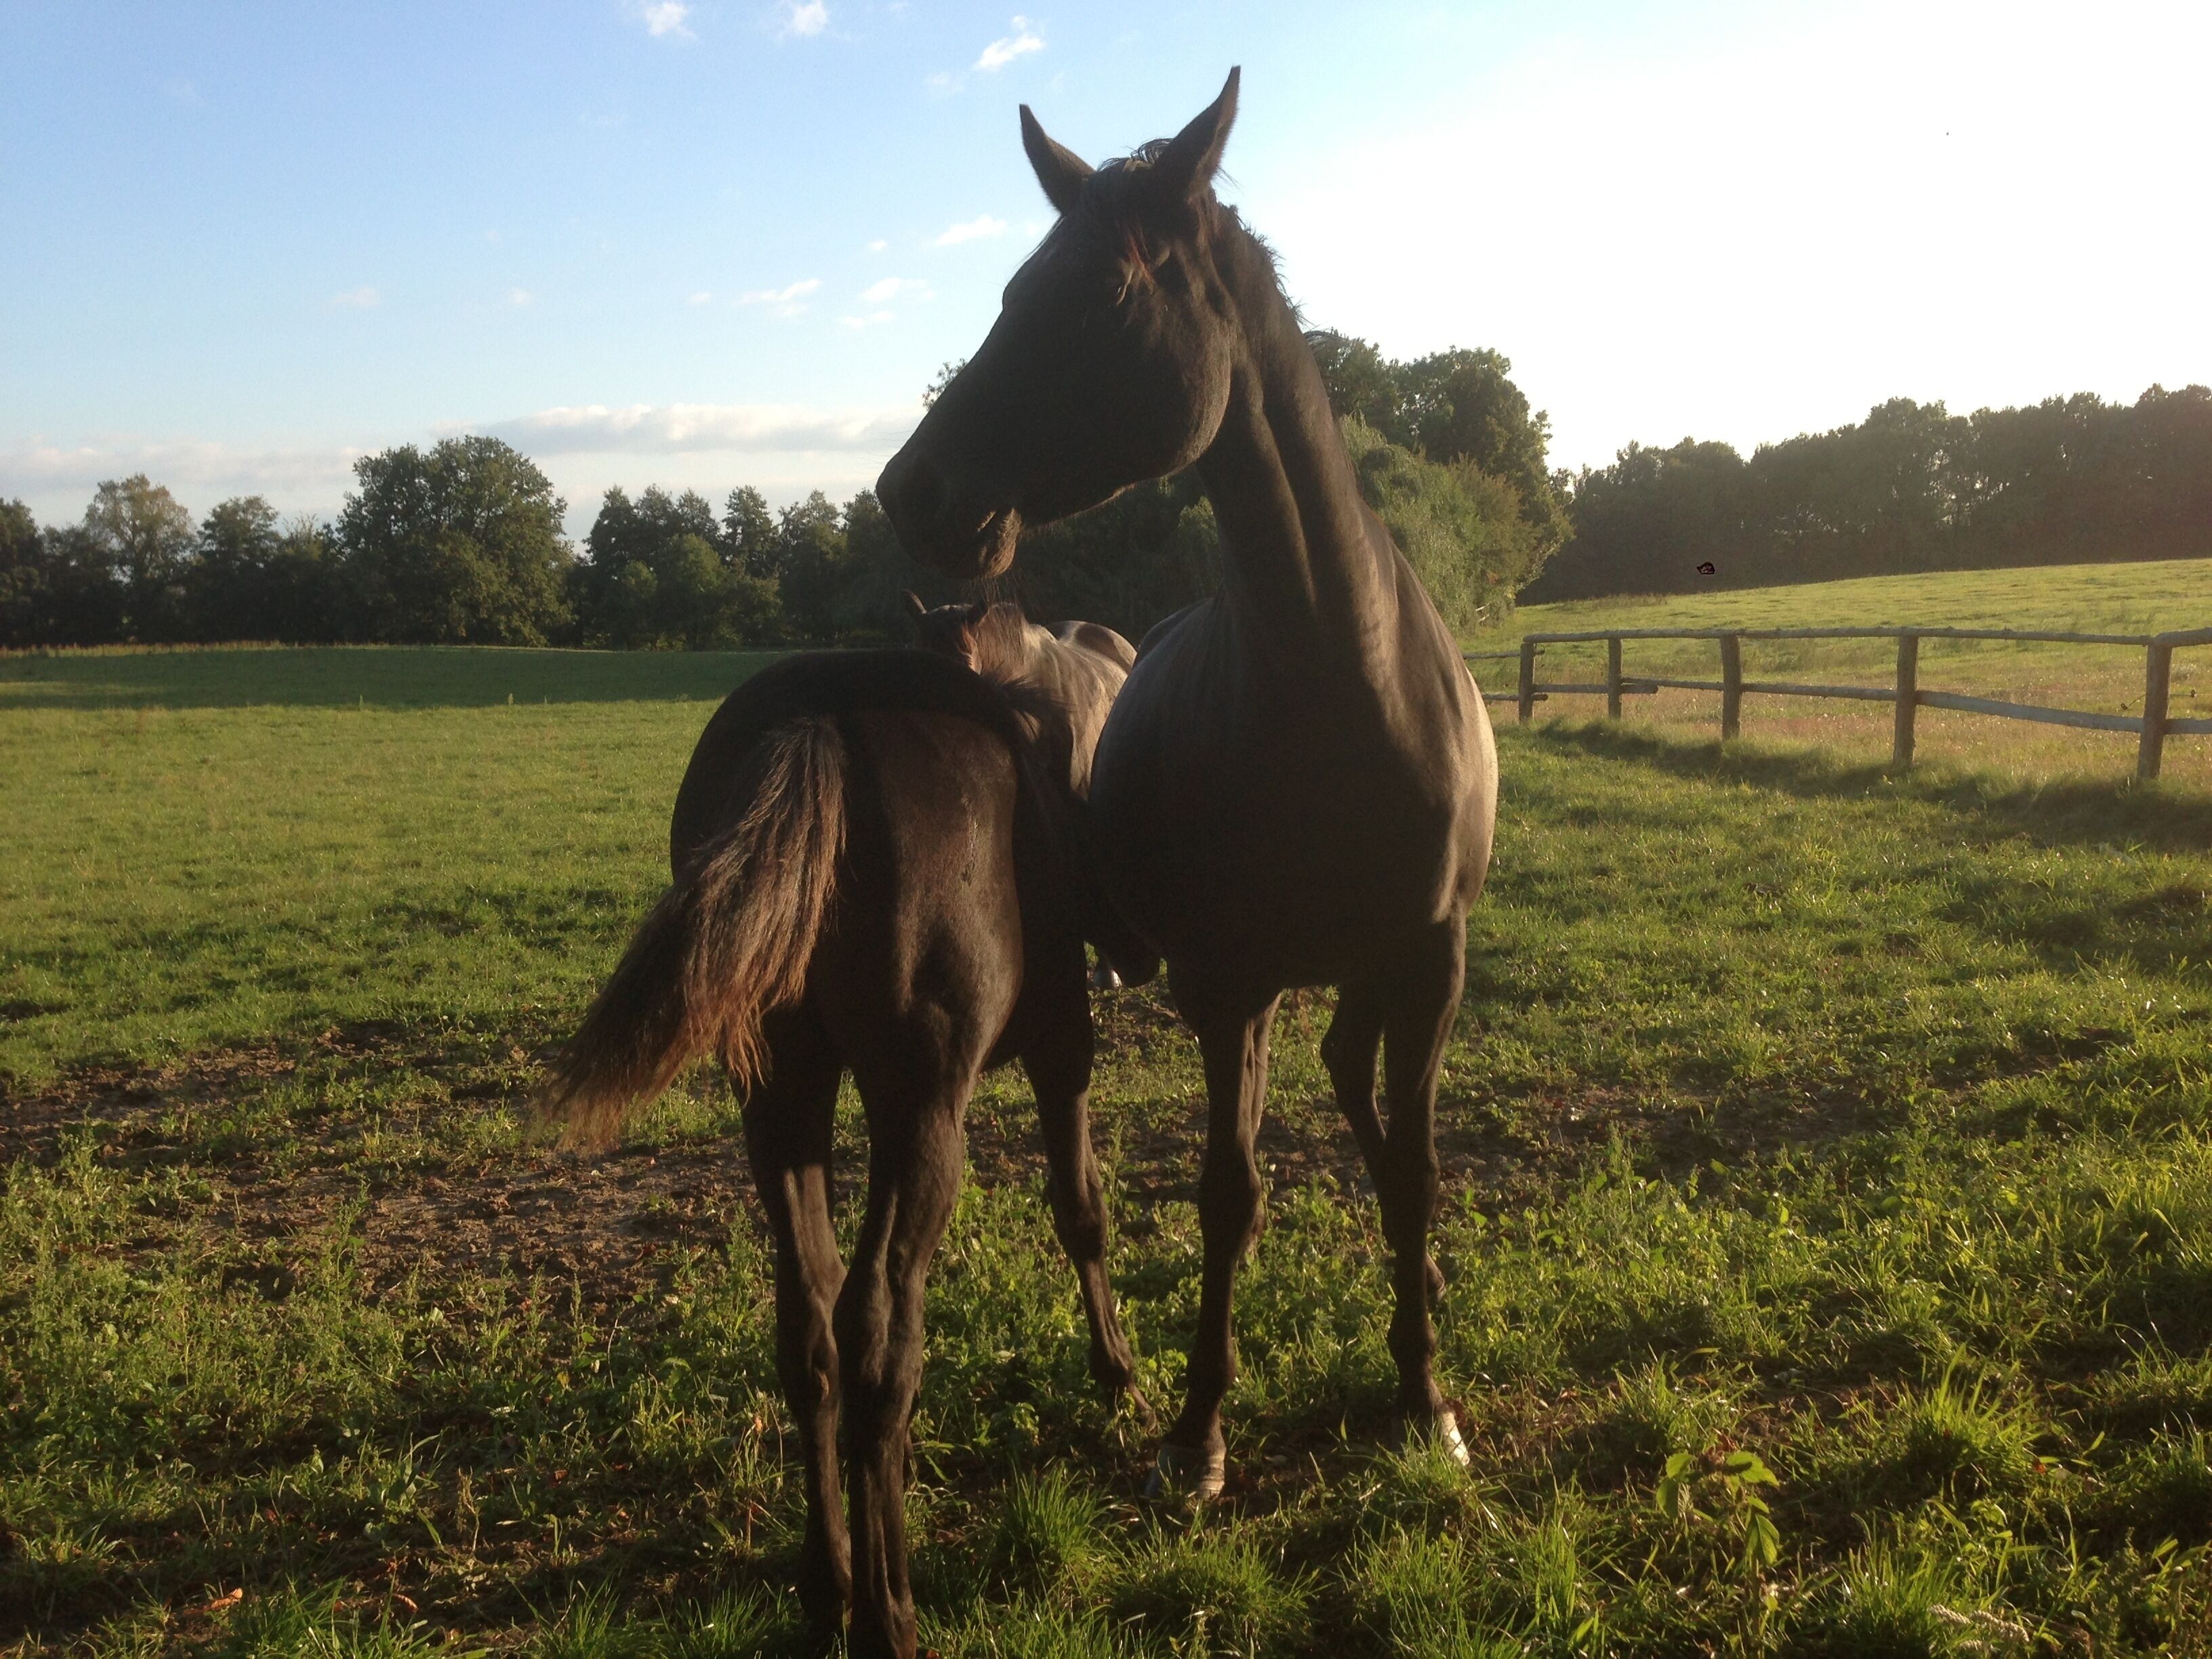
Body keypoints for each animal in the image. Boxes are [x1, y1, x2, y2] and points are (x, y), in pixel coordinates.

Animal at [536, 648, 1144, 1658]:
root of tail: (823, 716)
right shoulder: (1064, 1043)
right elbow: (1082, 1210)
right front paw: (1121, 1377)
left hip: (782, 1100)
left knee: (809, 1332)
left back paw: (828, 1590)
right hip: (923, 1116)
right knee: (877, 1340)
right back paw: (887, 1610)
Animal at [877, 69, 1499, 1500]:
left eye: (1100, 291)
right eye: (1009, 286)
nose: (911, 489)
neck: (1341, 687)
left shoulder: (1430, 961)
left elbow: (1413, 1172)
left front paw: (1423, 1395)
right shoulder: (1227, 983)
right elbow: (1227, 1193)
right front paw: (1200, 1427)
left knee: (1362, 1101)